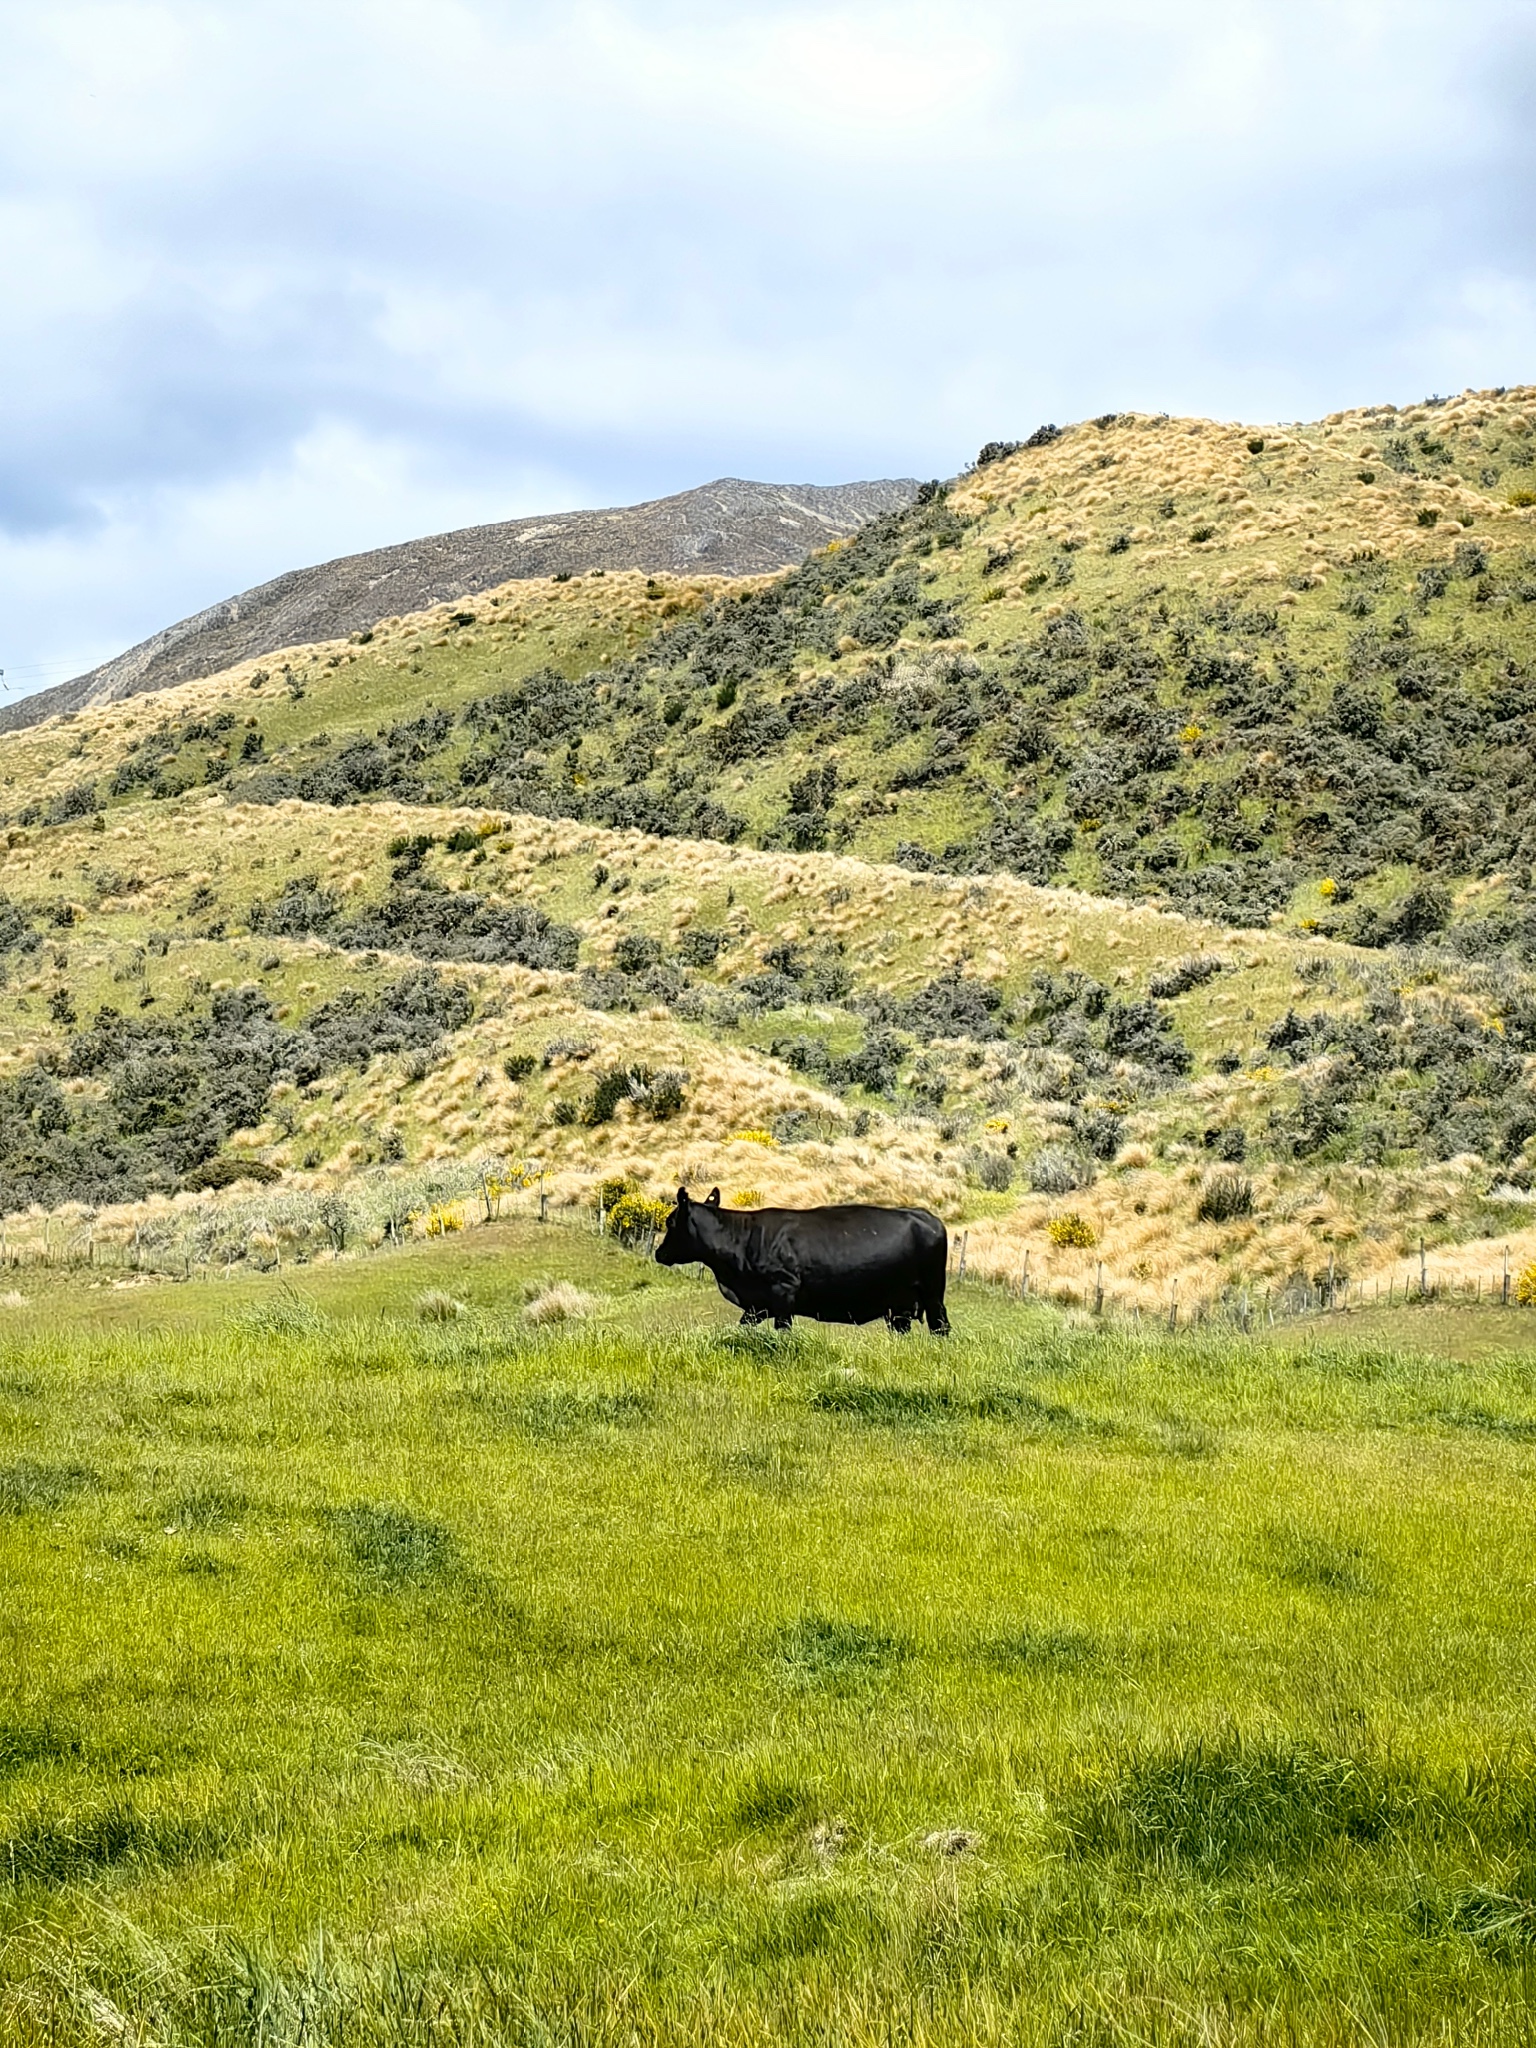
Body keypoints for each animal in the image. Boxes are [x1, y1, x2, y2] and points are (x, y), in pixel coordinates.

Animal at [659, 1196, 950, 1335]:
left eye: (670, 1222)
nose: (659, 1253)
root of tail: (926, 1216)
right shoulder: (757, 1304)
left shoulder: (783, 1291)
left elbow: (783, 1329)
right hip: (900, 1306)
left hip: (932, 1293)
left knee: (940, 1326)